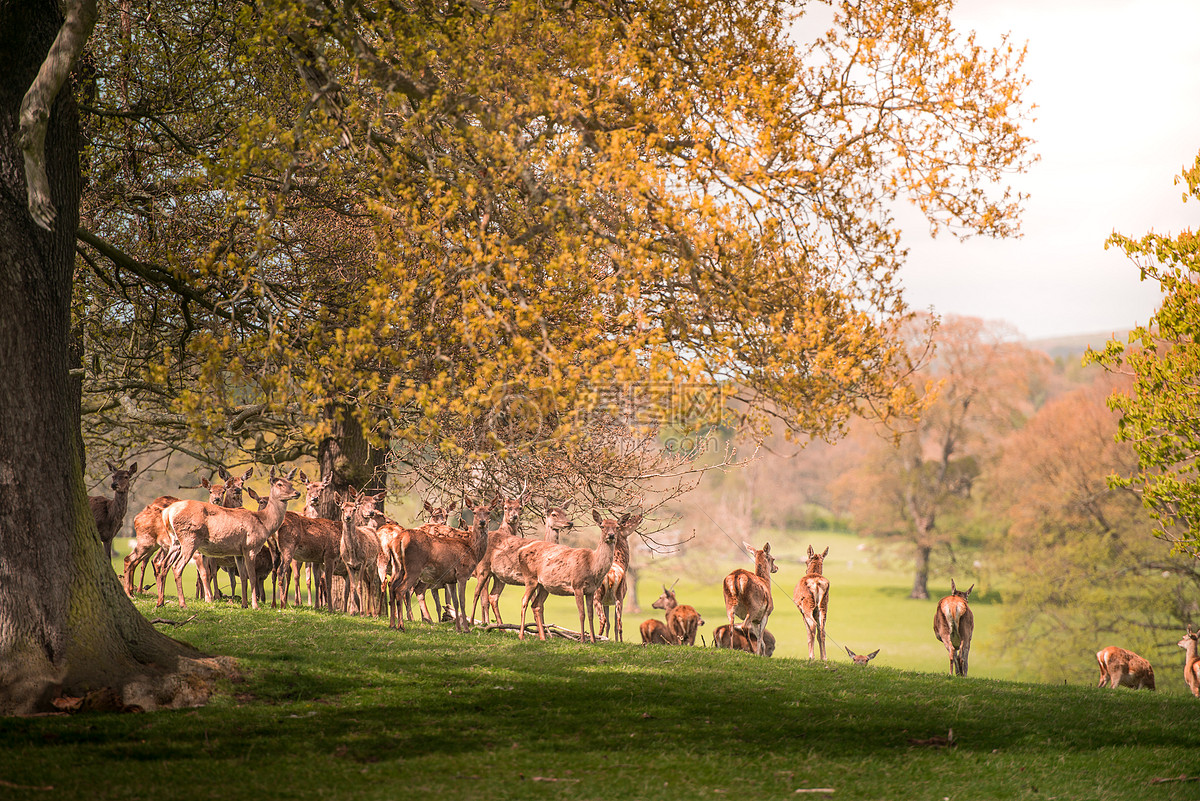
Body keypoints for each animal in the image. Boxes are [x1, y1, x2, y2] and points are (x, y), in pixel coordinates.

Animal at [162, 465, 300, 609]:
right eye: (279, 484)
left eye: (290, 483)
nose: (297, 493)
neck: (264, 523)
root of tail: (168, 512)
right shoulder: (250, 547)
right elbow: (252, 577)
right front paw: (255, 605)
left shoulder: (239, 552)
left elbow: (244, 577)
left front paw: (244, 604)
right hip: (189, 539)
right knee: (177, 567)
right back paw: (183, 604)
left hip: (176, 541)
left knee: (165, 564)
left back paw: (162, 603)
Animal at [388, 494, 492, 633]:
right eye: (474, 512)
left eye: (488, 512)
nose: (482, 522)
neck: (471, 549)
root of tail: (399, 539)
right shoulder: (462, 573)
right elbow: (462, 601)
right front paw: (466, 628)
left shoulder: (451, 579)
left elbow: (453, 602)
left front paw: (458, 628)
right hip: (413, 568)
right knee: (402, 590)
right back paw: (402, 625)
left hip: (398, 567)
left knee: (392, 586)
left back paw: (393, 624)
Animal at [513, 513, 638, 642]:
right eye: (602, 526)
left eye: (617, 526)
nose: (611, 535)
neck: (592, 565)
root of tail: (520, 551)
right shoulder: (577, 585)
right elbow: (582, 614)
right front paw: (583, 640)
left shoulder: (591, 590)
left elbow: (590, 615)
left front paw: (593, 640)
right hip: (530, 578)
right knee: (524, 601)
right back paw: (521, 635)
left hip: (543, 586)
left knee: (536, 605)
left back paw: (543, 637)